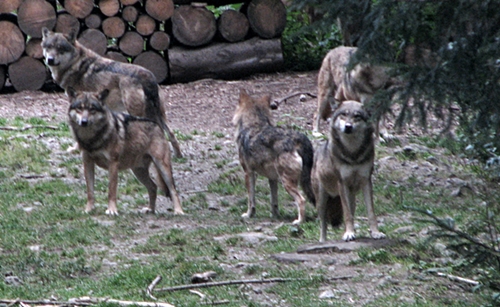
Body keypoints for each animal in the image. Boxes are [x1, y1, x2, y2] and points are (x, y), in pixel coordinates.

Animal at [41, 27, 182, 159]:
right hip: (159, 115)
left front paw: (76, 149)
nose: (50, 60)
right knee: (171, 134)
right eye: (48, 47)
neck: (76, 63)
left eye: (60, 48)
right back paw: (178, 156)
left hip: (139, 113)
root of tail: (147, 75)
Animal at [66, 87, 184, 217]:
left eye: (92, 109)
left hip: (162, 168)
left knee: (173, 190)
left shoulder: (113, 164)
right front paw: (88, 209)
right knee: (153, 187)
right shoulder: (87, 163)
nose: (84, 121)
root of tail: (158, 126)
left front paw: (112, 210)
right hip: (138, 172)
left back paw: (178, 211)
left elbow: (111, 190)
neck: (92, 139)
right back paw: (150, 209)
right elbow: (90, 191)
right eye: (79, 108)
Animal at [232, 90, 314, 225]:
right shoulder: (272, 178)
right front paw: (275, 216)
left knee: (302, 200)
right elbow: (274, 201)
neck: (254, 124)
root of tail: (298, 139)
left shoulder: (249, 173)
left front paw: (249, 215)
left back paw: (299, 222)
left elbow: (251, 199)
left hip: (287, 183)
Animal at [312, 100, 386, 242]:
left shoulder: (366, 181)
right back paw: (323, 241)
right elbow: (346, 214)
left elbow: (371, 212)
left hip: (352, 198)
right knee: (323, 223)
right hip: (322, 200)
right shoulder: (342, 183)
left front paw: (375, 232)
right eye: (344, 115)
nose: (348, 127)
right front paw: (348, 234)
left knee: (351, 212)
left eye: (357, 116)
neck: (353, 155)